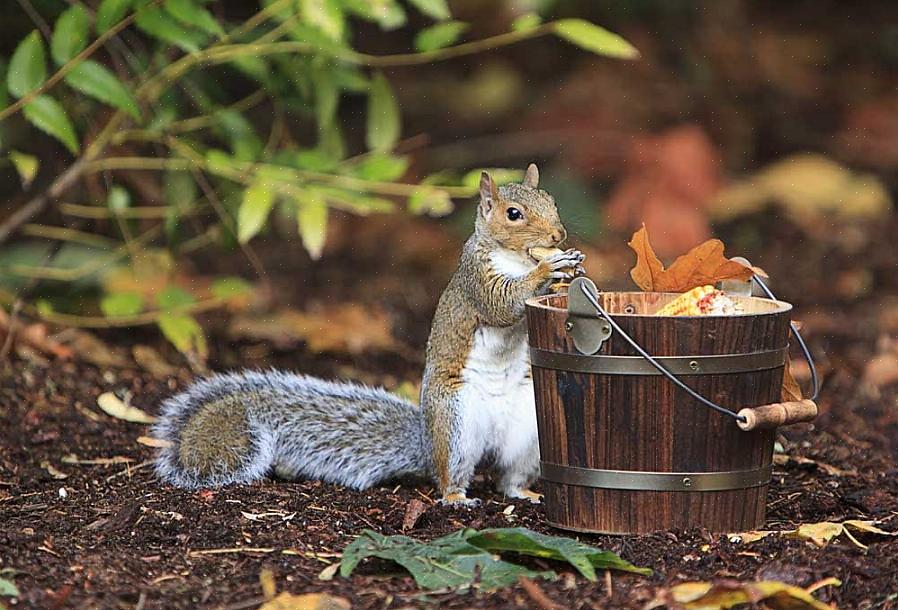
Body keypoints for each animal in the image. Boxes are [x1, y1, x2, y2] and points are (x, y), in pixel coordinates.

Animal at [152, 164, 588, 506]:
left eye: (550, 200)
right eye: (514, 214)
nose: (558, 236)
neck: (515, 257)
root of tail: (427, 441)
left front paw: (569, 273)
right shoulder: (476, 280)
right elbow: (501, 304)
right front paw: (548, 270)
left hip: (528, 433)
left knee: (508, 478)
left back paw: (525, 492)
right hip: (457, 425)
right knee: (449, 474)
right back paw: (455, 497)